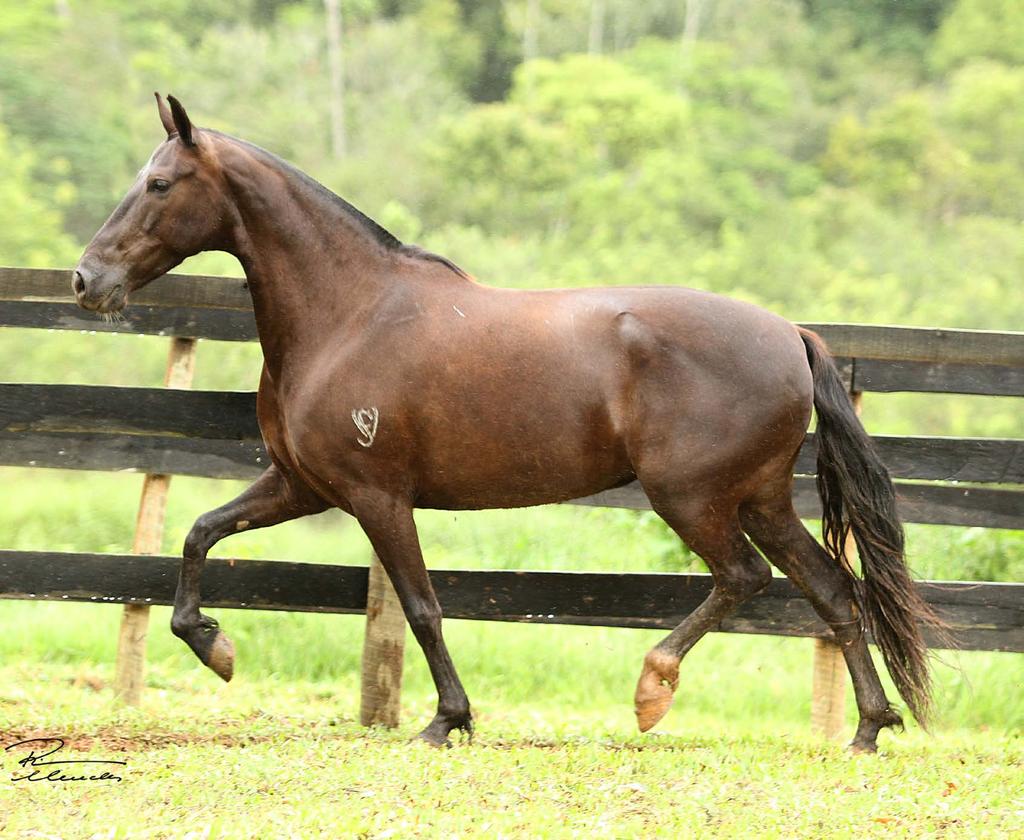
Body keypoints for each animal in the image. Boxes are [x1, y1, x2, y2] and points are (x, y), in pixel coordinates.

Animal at [70, 95, 942, 749]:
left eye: (159, 184)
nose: (87, 280)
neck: (348, 314)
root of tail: (791, 335)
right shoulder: (301, 485)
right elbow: (198, 533)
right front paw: (214, 646)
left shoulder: (377, 495)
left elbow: (422, 606)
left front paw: (447, 722)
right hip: (759, 497)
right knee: (831, 589)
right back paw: (869, 729)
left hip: (692, 497)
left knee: (746, 579)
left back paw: (652, 689)